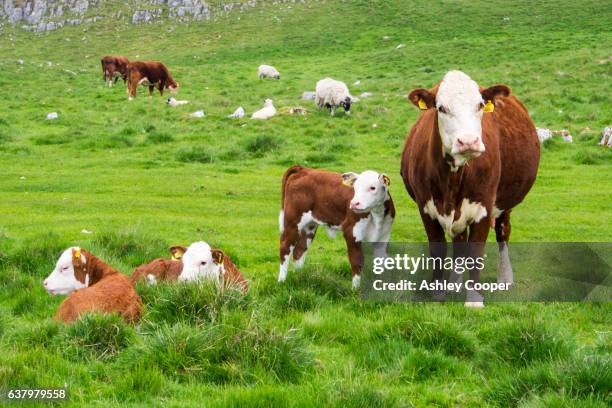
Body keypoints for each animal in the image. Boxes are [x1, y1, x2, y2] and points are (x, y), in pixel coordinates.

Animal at [402, 70, 540, 306]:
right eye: (441, 108)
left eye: (480, 105)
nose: (468, 141)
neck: (452, 178)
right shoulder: (425, 207)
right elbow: (439, 249)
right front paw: (438, 292)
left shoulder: (483, 206)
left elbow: (475, 251)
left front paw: (474, 300)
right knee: (459, 243)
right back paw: (455, 283)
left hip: (505, 204)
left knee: (503, 232)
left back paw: (505, 277)